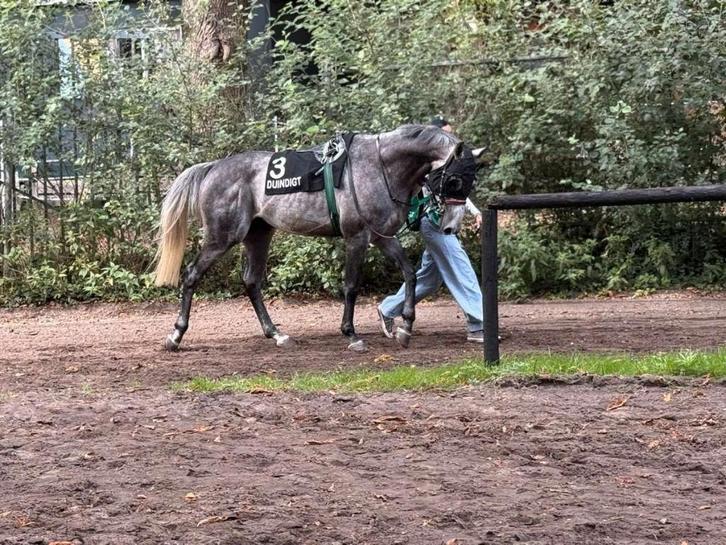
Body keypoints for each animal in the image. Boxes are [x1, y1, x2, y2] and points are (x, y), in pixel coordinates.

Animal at [154, 124, 482, 353]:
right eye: (455, 179)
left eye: (471, 180)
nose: (450, 228)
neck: (380, 166)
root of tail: (213, 168)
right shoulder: (357, 237)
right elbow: (351, 286)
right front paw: (352, 335)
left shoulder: (381, 236)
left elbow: (409, 273)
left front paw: (405, 328)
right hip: (222, 237)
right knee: (192, 275)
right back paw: (175, 335)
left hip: (259, 235)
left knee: (251, 282)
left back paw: (276, 334)